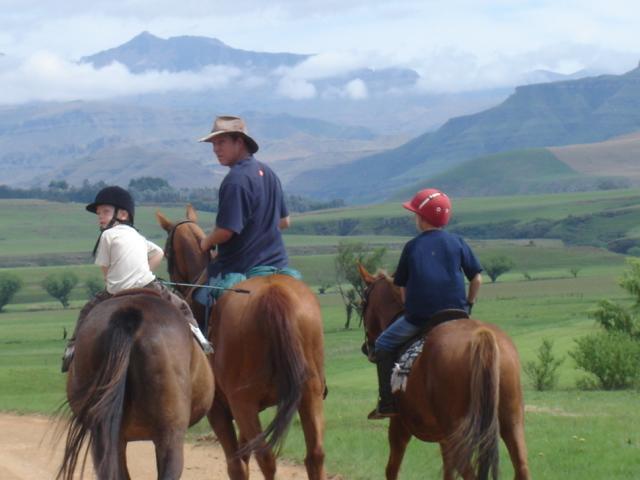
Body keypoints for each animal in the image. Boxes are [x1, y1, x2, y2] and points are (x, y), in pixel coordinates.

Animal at [156, 206, 324, 480]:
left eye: (167, 252)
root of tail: (274, 295)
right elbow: (243, 456)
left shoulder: (220, 410)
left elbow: (236, 464)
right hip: (309, 392)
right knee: (314, 456)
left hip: (243, 403)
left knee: (266, 458)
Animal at [360, 266, 528, 480]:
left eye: (362, 304)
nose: (367, 347)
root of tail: (481, 336)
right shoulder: (443, 438)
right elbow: (448, 471)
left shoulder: (399, 425)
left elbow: (392, 469)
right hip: (511, 422)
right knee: (521, 466)